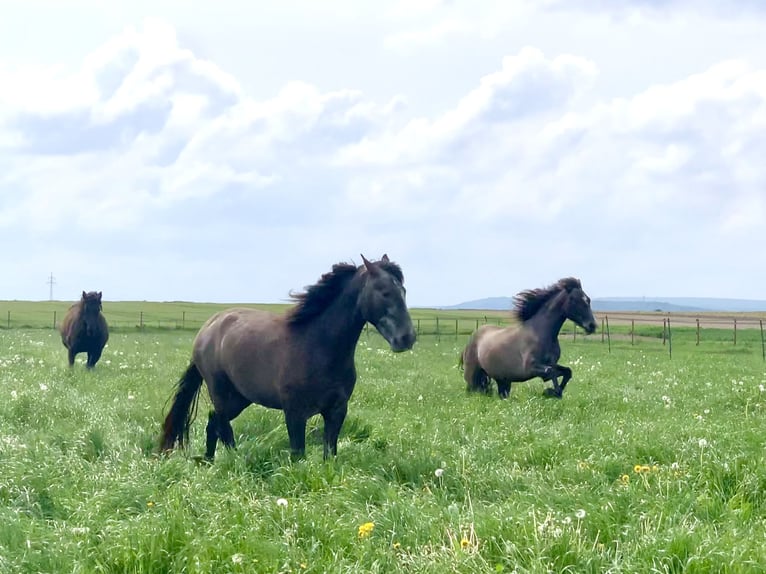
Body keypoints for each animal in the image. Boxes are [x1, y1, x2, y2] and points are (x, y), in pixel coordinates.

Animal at [158, 256, 416, 464]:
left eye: (404, 291)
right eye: (384, 291)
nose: (407, 338)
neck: (318, 346)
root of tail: (208, 328)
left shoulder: (337, 410)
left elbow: (329, 454)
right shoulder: (294, 412)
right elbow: (298, 454)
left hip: (240, 398)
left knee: (213, 423)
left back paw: (210, 462)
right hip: (221, 393)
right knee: (223, 427)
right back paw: (234, 462)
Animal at [462, 280, 600, 400]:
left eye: (588, 299)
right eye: (573, 300)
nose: (592, 326)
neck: (541, 333)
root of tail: (473, 337)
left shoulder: (552, 363)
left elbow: (567, 372)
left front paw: (556, 392)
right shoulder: (529, 367)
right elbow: (550, 372)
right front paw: (552, 392)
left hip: (503, 381)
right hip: (472, 375)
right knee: (472, 390)